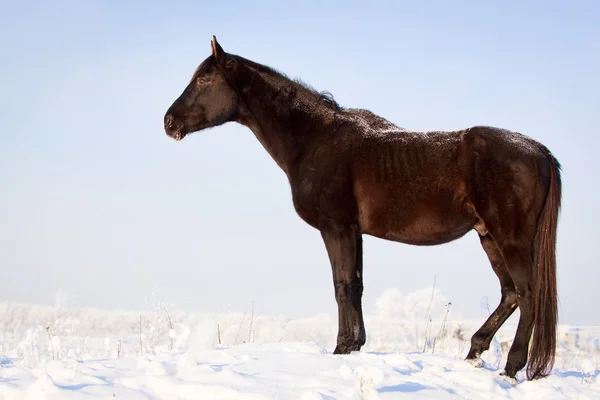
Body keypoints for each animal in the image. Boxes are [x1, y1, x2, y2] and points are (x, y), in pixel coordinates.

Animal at [165, 36, 564, 380]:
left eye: (204, 79)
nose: (169, 122)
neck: (315, 139)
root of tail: (539, 151)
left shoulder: (336, 227)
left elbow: (342, 285)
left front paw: (341, 347)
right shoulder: (354, 232)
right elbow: (355, 284)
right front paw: (355, 345)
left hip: (510, 240)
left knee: (528, 295)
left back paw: (511, 367)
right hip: (488, 236)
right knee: (510, 293)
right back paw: (475, 351)